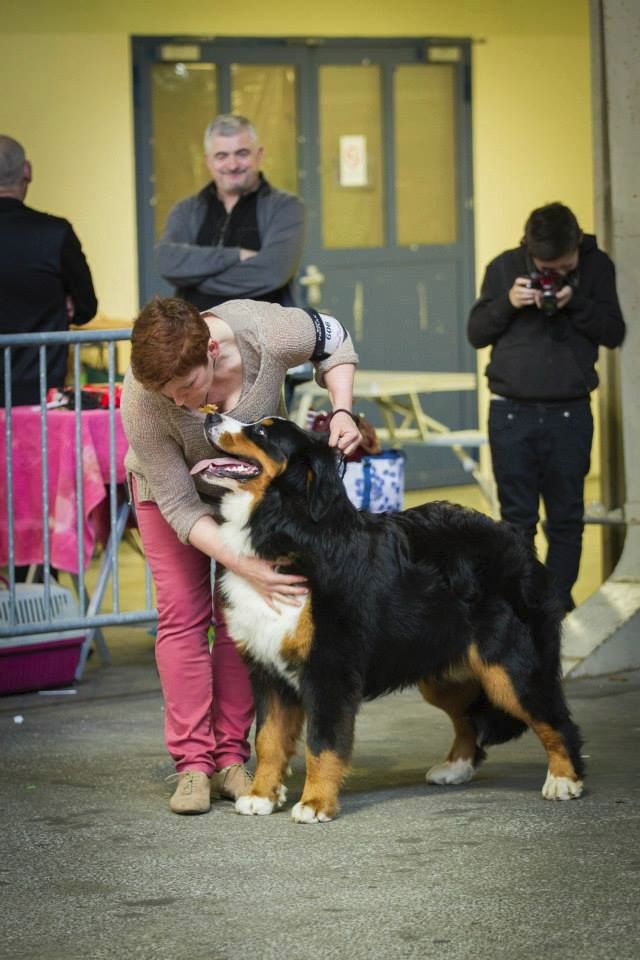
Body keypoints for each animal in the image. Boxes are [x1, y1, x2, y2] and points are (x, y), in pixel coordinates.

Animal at [194, 412, 584, 824]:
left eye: (262, 431)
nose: (210, 414)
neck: (286, 524)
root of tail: (516, 541)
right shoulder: (268, 670)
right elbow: (268, 739)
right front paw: (261, 796)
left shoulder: (328, 667)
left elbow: (323, 742)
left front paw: (315, 802)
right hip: (442, 670)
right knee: (468, 720)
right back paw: (455, 767)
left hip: (507, 667)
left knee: (554, 719)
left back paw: (564, 780)